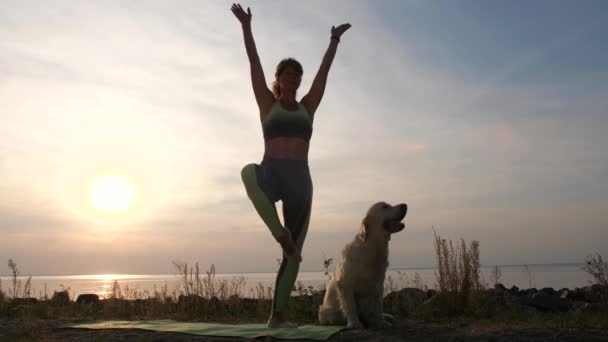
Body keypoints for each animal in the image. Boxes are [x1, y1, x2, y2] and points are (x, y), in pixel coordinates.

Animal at [318, 202, 408, 330]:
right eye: (384, 206)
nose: (405, 205)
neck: (372, 247)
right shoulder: (346, 283)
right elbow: (351, 306)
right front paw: (355, 323)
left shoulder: (378, 284)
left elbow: (378, 306)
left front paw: (382, 322)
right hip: (328, 312)